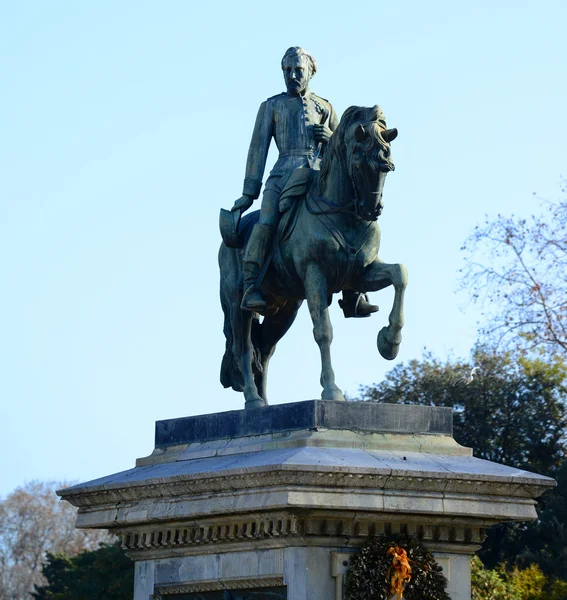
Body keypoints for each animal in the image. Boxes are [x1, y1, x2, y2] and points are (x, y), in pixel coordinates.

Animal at [217, 105, 408, 410]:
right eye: (358, 165)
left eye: (387, 167)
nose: (372, 210)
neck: (342, 212)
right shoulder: (315, 275)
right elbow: (323, 331)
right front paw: (331, 390)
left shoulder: (362, 273)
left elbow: (400, 273)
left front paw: (389, 342)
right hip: (237, 305)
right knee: (243, 347)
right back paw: (253, 400)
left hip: (285, 309)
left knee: (265, 351)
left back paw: (265, 402)